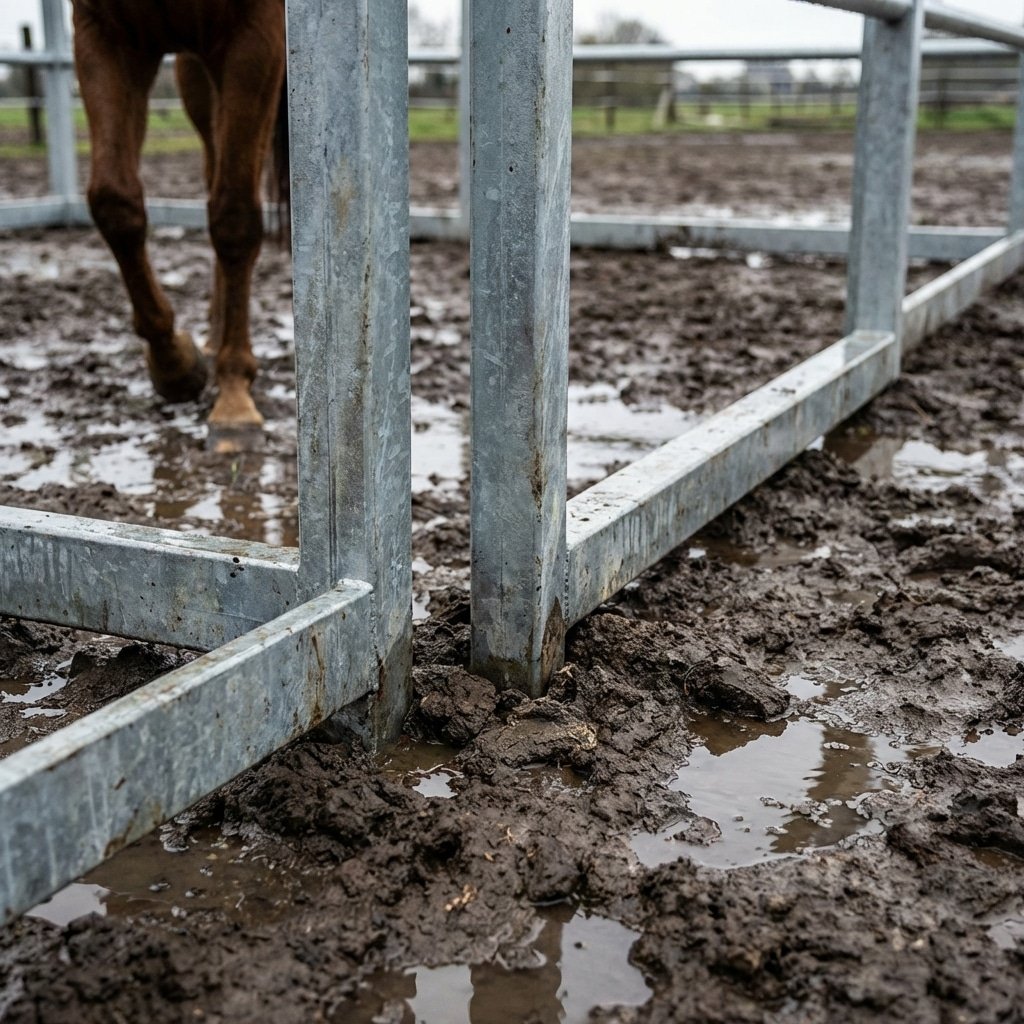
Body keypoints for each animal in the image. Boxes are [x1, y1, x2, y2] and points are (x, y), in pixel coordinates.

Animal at [70, 0, 288, 442]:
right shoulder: (104, 33)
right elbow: (114, 202)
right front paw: (176, 368)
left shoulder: (257, 35)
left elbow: (235, 217)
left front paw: (234, 399)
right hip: (197, 75)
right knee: (213, 173)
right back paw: (213, 340)